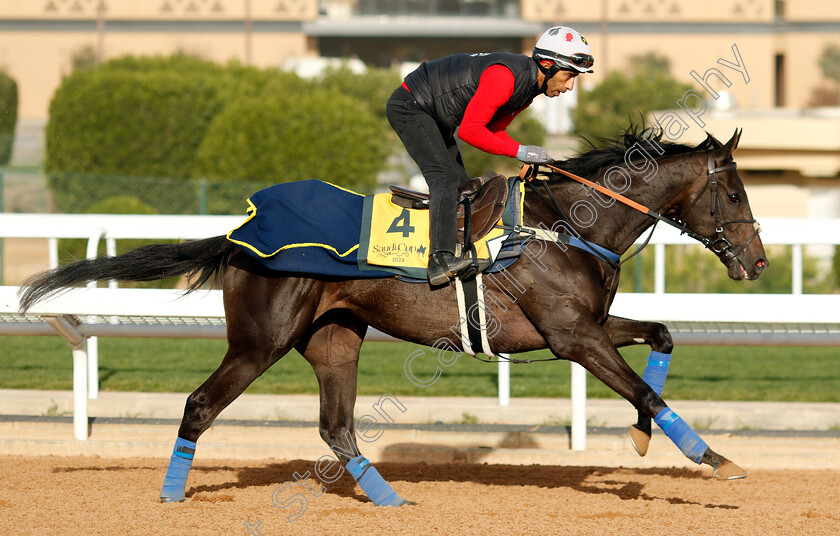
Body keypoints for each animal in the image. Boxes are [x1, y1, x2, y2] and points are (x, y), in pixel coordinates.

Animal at [18, 127, 768, 504]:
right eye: (733, 193)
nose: (758, 262)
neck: (566, 225)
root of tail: (239, 232)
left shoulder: (584, 327)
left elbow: (661, 337)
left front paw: (641, 437)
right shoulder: (570, 335)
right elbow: (647, 388)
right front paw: (715, 459)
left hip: (334, 338)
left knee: (337, 427)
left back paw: (388, 500)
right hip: (261, 339)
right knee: (200, 405)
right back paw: (174, 498)